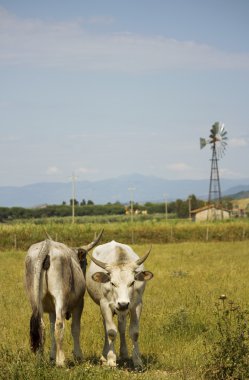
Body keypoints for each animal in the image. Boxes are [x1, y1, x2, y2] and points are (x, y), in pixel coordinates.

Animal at [24, 230, 102, 366]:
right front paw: (78, 356)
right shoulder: (79, 304)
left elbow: (51, 330)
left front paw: (52, 357)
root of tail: (47, 246)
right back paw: (61, 361)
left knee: (41, 325)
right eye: (85, 262)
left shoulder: (51, 310)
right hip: (60, 296)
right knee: (59, 324)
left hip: (35, 299)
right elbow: (75, 328)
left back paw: (40, 359)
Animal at [85, 240, 153, 368]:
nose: (123, 304)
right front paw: (111, 360)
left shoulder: (136, 305)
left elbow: (134, 332)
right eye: (112, 283)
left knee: (121, 328)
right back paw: (104, 356)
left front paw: (137, 361)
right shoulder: (105, 305)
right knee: (107, 328)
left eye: (132, 282)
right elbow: (111, 332)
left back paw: (124, 354)